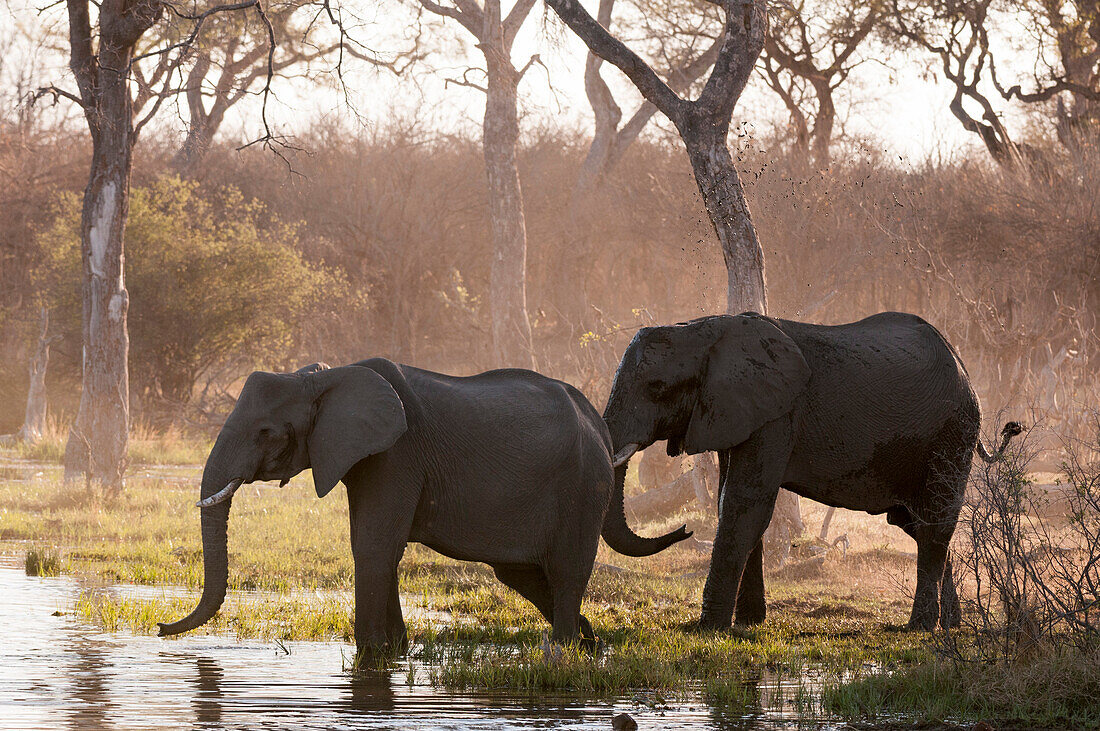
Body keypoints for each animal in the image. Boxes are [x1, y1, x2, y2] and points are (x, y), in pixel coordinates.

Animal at [157, 358, 686, 655]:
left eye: (266, 432)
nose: (162, 628)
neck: (324, 378)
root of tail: (599, 425)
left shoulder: (397, 454)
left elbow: (373, 547)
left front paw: (373, 656)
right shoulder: (367, 458)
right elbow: (377, 547)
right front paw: (396, 653)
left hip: (583, 484)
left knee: (568, 570)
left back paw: (563, 652)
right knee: (526, 576)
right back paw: (589, 646)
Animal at [602, 309, 1020, 628]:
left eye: (657, 387)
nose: (685, 529)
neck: (704, 329)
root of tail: (962, 366)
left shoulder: (778, 415)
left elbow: (744, 505)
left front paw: (709, 628)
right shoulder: (736, 413)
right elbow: (731, 503)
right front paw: (749, 624)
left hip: (952, 433)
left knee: (935, 521)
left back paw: (920, 627)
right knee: (916, 523)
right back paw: (949, 624)